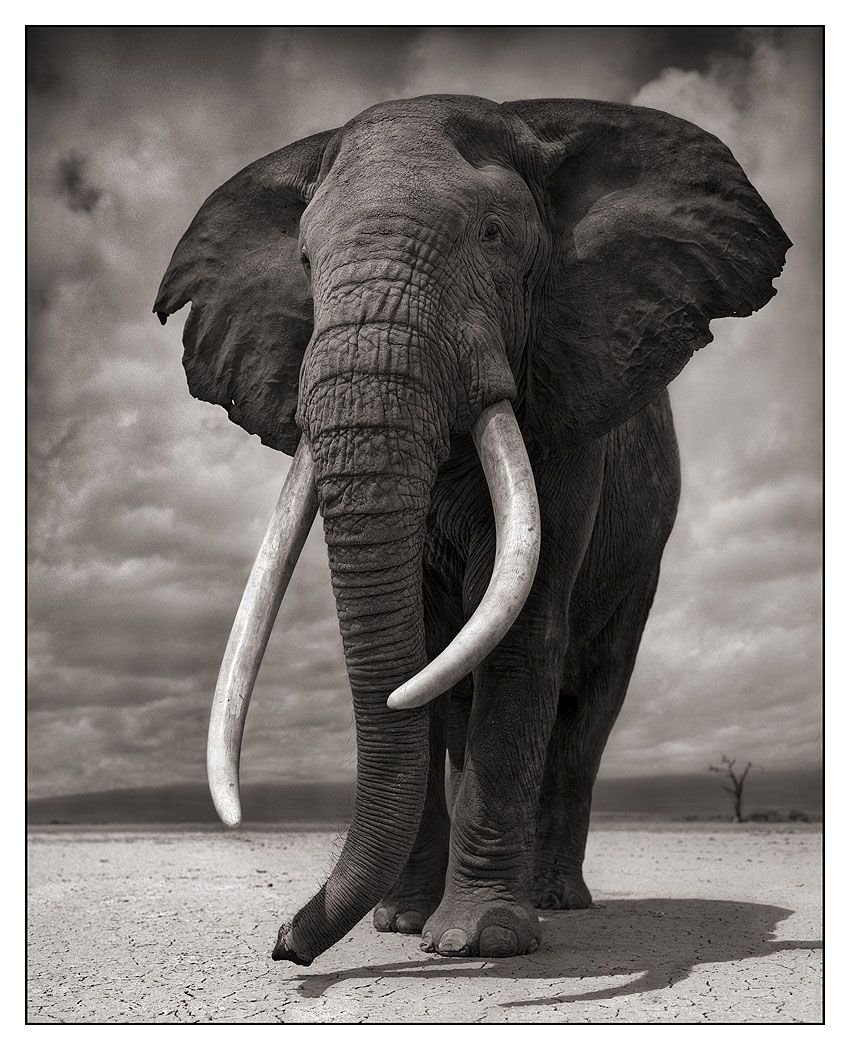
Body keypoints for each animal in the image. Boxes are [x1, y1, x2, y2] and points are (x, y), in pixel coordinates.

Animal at [154, 95, 790, 964]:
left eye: (493, 235)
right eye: (307, 263)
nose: (287, 942)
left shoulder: (568, 405)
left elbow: (518, 634)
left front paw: (478, 940)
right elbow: (421, 650)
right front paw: (399, 924)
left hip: (645, 558)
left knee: (590, 706)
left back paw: (557, 898)